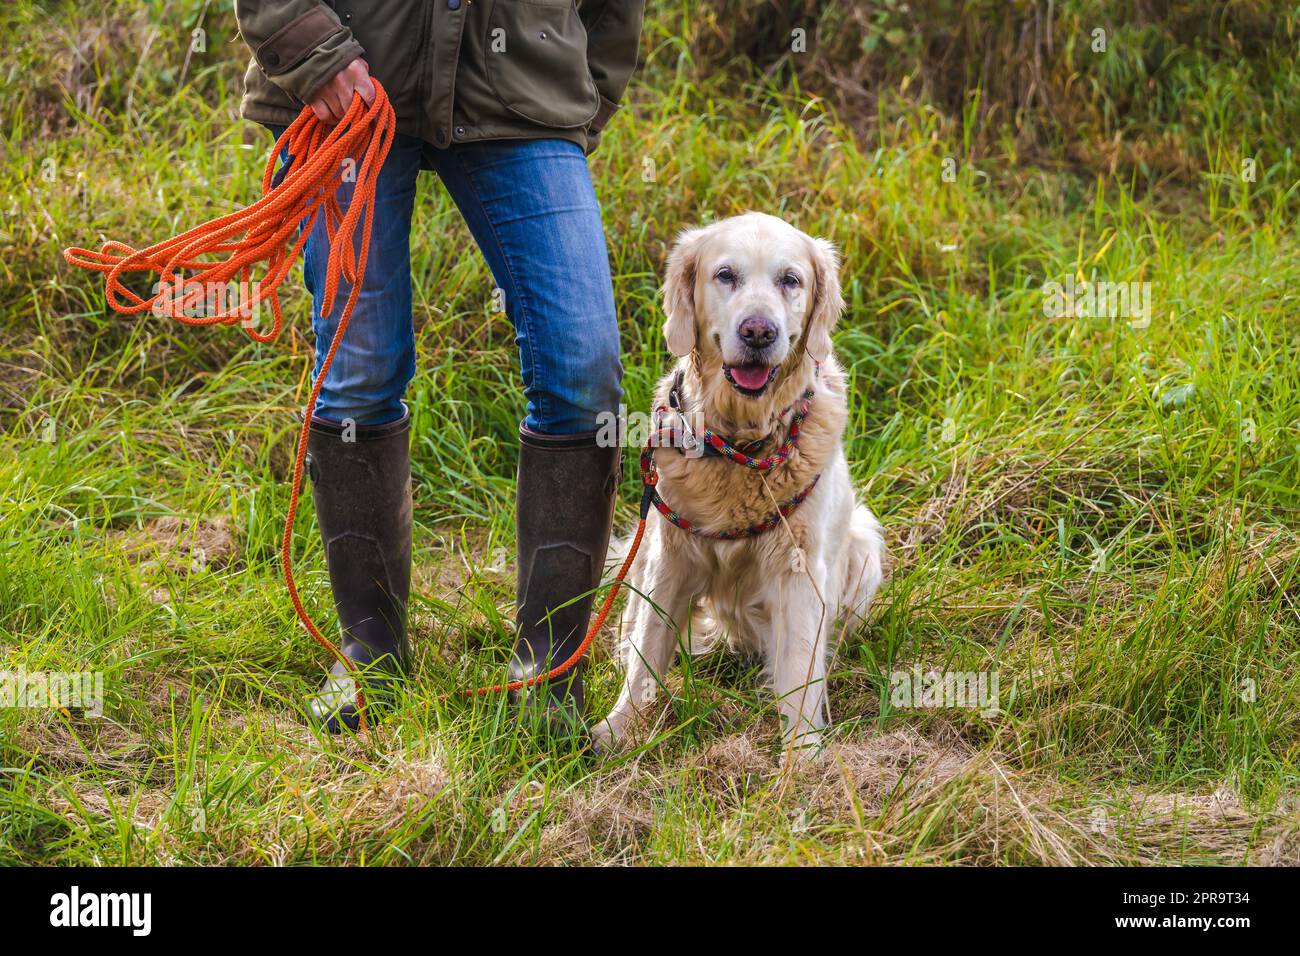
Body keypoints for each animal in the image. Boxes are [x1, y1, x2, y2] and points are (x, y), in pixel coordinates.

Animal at [595, 213, 889, 759]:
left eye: (791, 280)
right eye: (725, 275)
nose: (758, 331)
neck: (740, 445)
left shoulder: (799, 569)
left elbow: (799, 667)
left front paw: (802, 756)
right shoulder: (670, 557)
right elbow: (648, 649)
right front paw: (619, 729)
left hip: (863, 546)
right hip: (645, 543)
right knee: (631, 625)